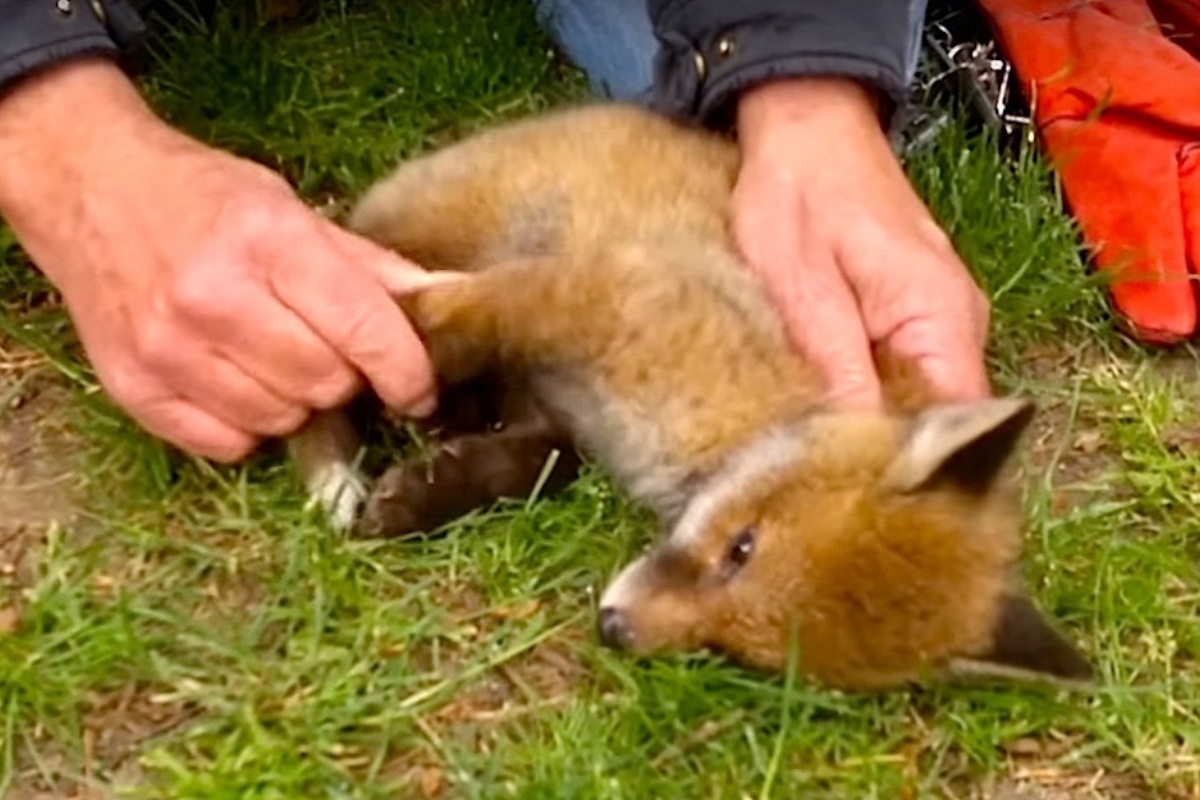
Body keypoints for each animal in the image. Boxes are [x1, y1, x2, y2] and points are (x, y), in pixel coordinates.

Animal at [285, 98, 1094, 690]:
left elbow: (540, 455)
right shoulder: (605, 292)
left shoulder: (564, 397)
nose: (614, 631)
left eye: (749, 652)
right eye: (742, 547)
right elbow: (419, 332)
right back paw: (337, 464)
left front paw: (430, 487)